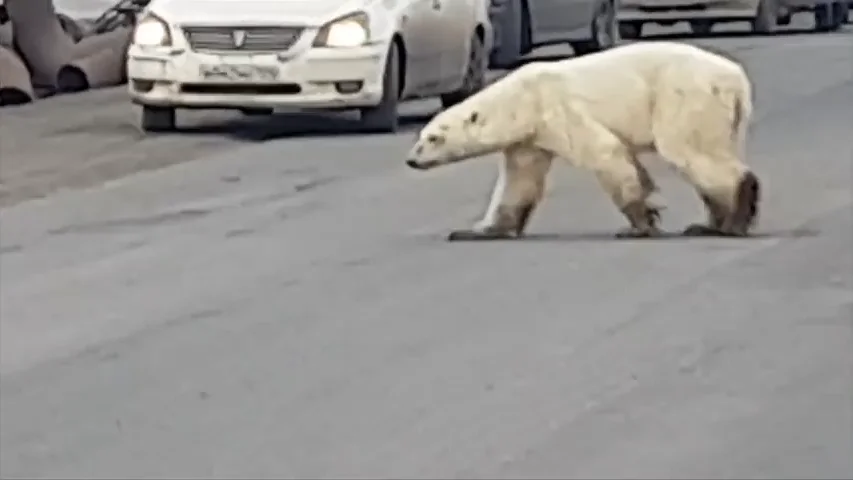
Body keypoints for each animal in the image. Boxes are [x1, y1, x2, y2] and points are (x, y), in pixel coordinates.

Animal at [404, 41, 760, 240]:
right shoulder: (530, 139)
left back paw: (734, 220)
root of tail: (737, 79)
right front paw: (475, 231)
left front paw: (638, 225)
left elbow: (605, 151)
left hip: (685, 96)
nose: (411, 159)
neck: (521, 98)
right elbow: (518, 181)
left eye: (433, 138)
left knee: (688, 150)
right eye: (421, 136)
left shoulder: (556, 109)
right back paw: (710, 224)